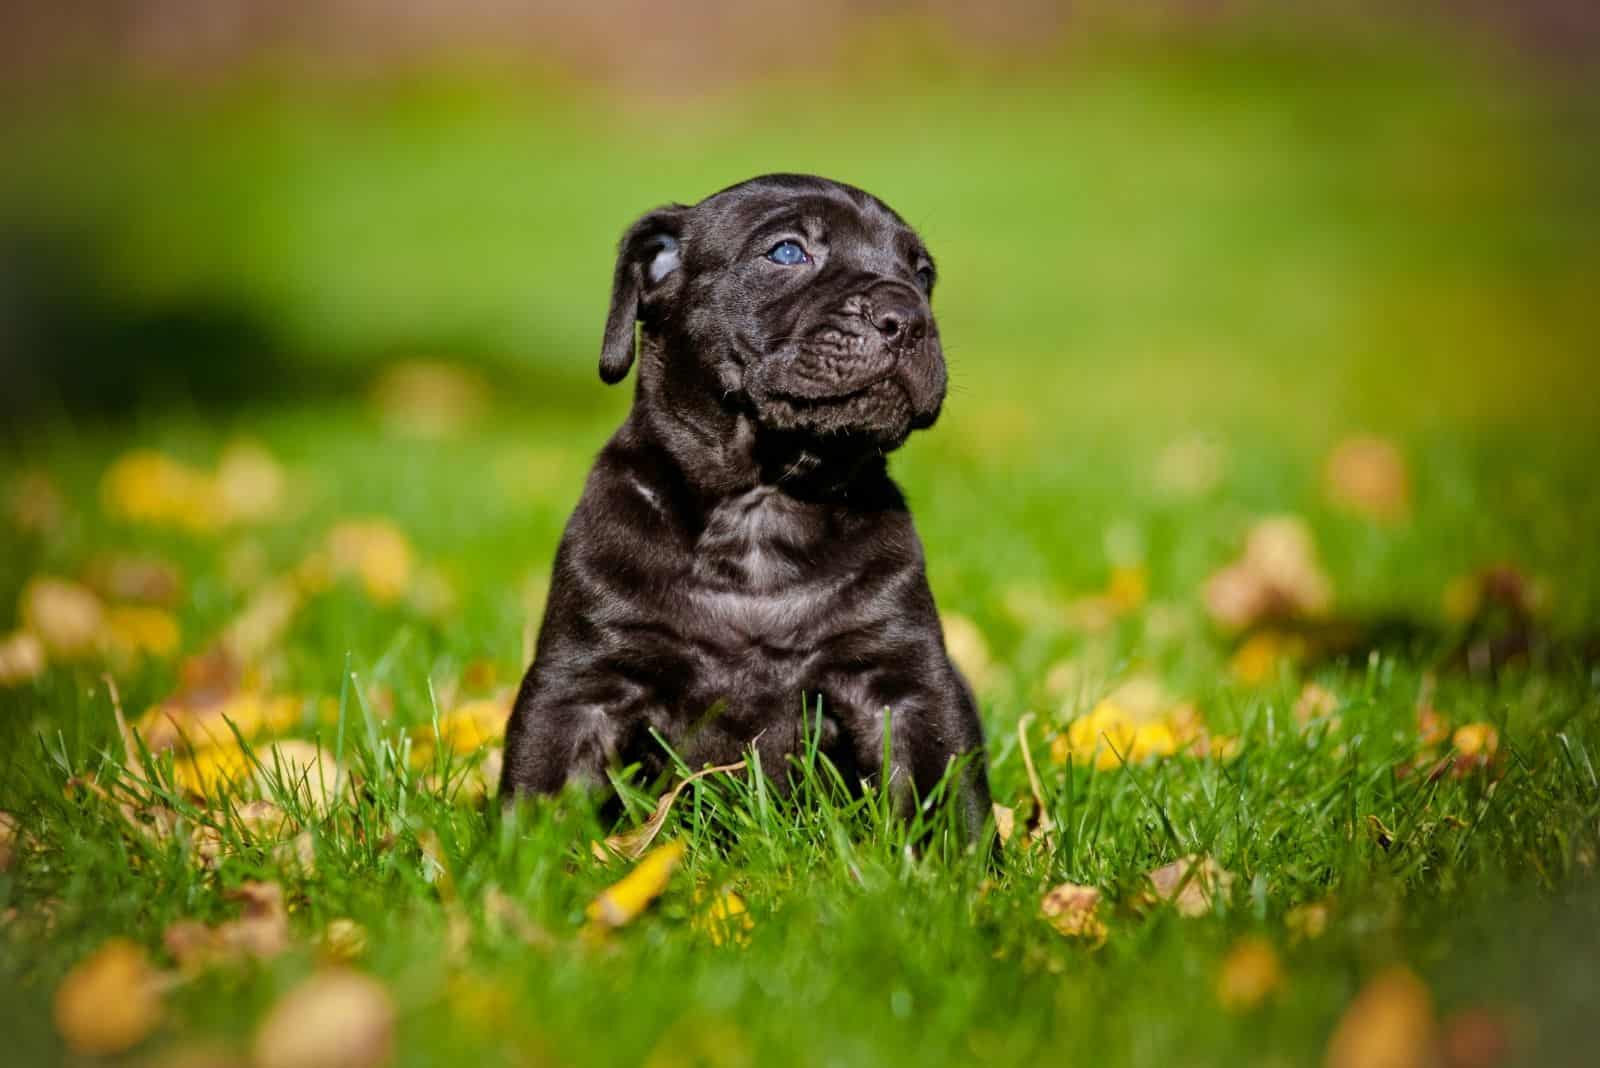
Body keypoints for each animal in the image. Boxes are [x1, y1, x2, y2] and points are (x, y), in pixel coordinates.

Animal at [505, 173, 992, 844]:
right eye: (787, 252)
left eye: (922, 274)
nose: (910, 317)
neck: (763, 507)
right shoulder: (579, 684)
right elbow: (537, 791)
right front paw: (516, 863)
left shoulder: (909, 685)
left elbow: (949, 800)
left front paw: (966, 868)